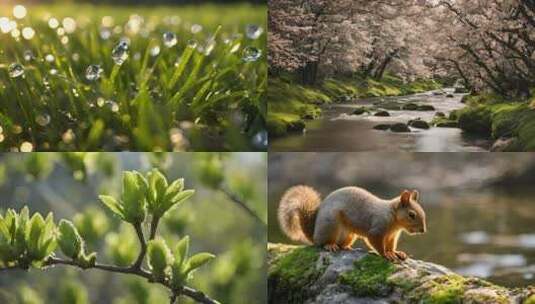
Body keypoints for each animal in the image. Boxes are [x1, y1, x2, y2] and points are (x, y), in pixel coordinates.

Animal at [280, 184, 428, 262]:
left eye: (423, 212)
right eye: (412, 215)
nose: (423, 230)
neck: (393, 218)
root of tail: (313, 234)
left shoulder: (392, 236)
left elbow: (391, 245)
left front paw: (397, 252)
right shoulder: (377, 230)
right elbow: (376, 243)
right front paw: (386, 254)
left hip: (350, 234)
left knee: (341, 244)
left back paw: (346, 247)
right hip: (330, 225)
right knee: (322, 243)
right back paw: (330, 245)